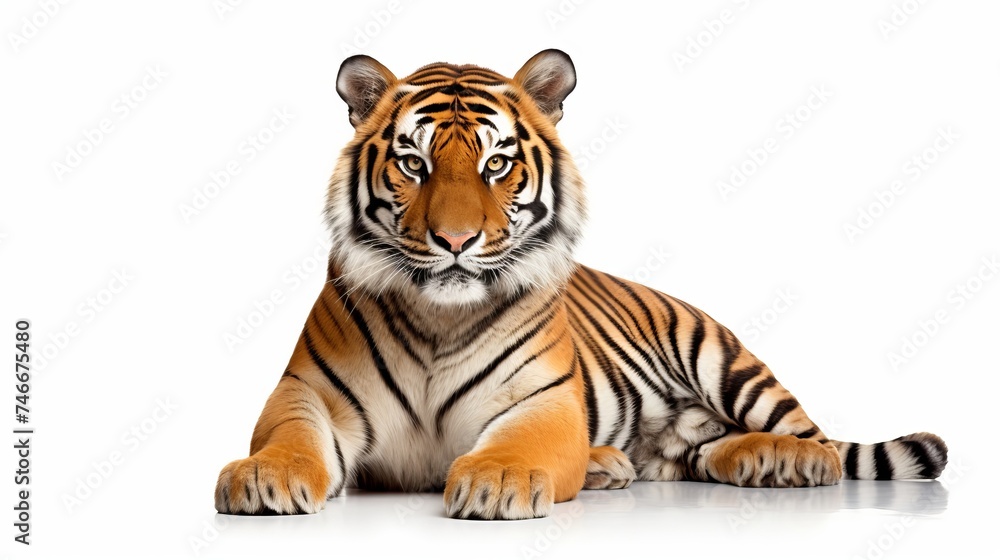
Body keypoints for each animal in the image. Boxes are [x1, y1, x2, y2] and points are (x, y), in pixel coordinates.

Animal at [214, 49, 948, 520]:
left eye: (497, 164)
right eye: (414, 165)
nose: (456, 241)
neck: (438, 319)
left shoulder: (543, 399)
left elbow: (521, 444)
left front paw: (498, 480)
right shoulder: (309, 390)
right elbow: (289, 436)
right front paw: (264, 477)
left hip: (726, 362)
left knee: (820, 442)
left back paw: (788, 462)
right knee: (702, 453)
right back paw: (640, 463)